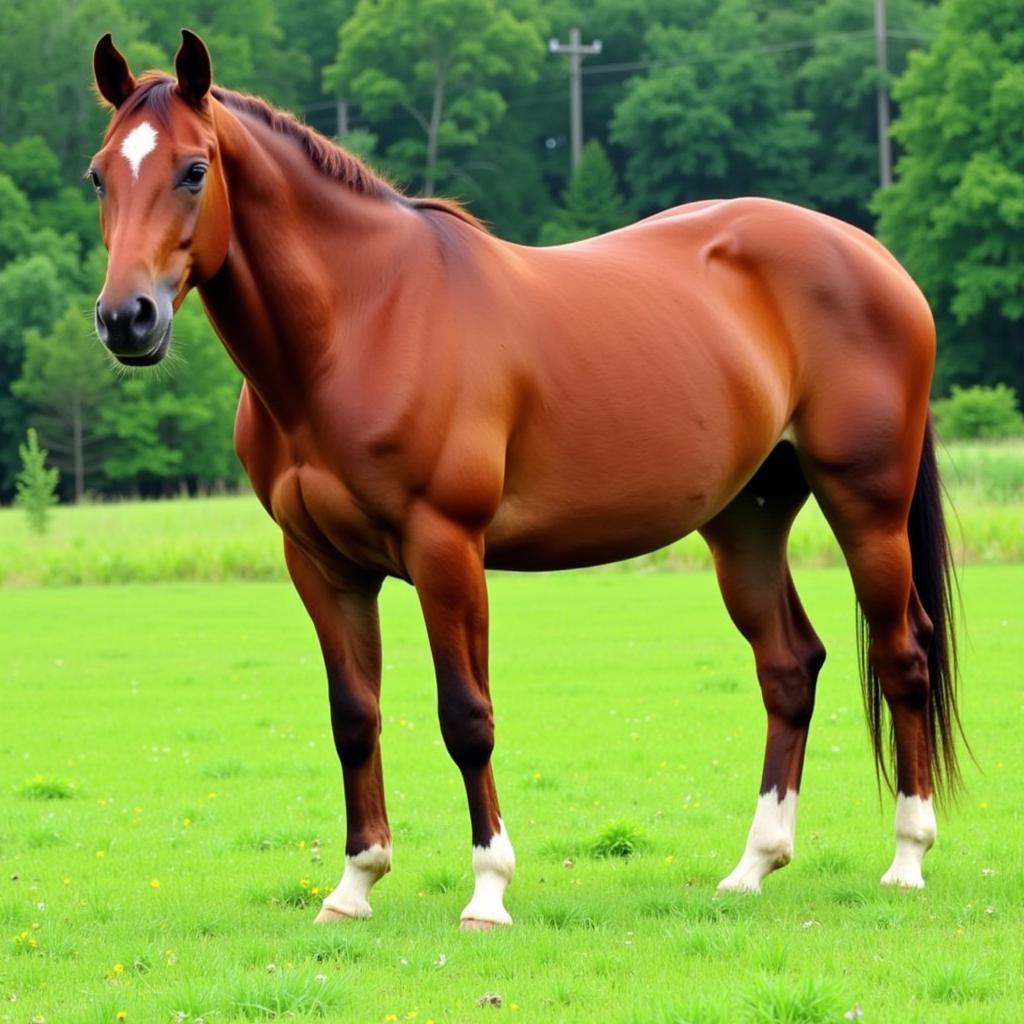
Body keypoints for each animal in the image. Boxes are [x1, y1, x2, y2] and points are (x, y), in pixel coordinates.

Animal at [88, 29, 958, 929]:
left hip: (866, 504)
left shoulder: (446, 548)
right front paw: (355, 884)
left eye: (194, 169)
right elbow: (353, 718)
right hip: (745, 520)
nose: (126, 318)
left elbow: (466, 716)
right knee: (789, 667)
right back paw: (754, 865)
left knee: (904, 656)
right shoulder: (323, 565)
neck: (361, 323)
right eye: (99, 175)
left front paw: (488, 889)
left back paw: (907, 859)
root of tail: (873, 256)